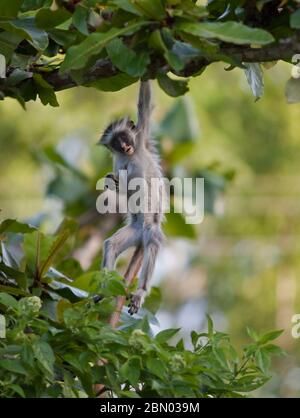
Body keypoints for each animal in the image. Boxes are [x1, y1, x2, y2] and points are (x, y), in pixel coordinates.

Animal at [99, 80, 164, 316]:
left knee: (153, 241)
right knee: (110, 245)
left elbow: (145, 103)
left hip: (149, 229)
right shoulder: (118, 163)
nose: (126, 146)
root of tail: (141, 234)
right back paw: (104, 290)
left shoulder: (142, 138)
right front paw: (116, 184)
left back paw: (140, 292)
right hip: (133, 231)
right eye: (117, 143)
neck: (131, 155)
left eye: (125, 138)